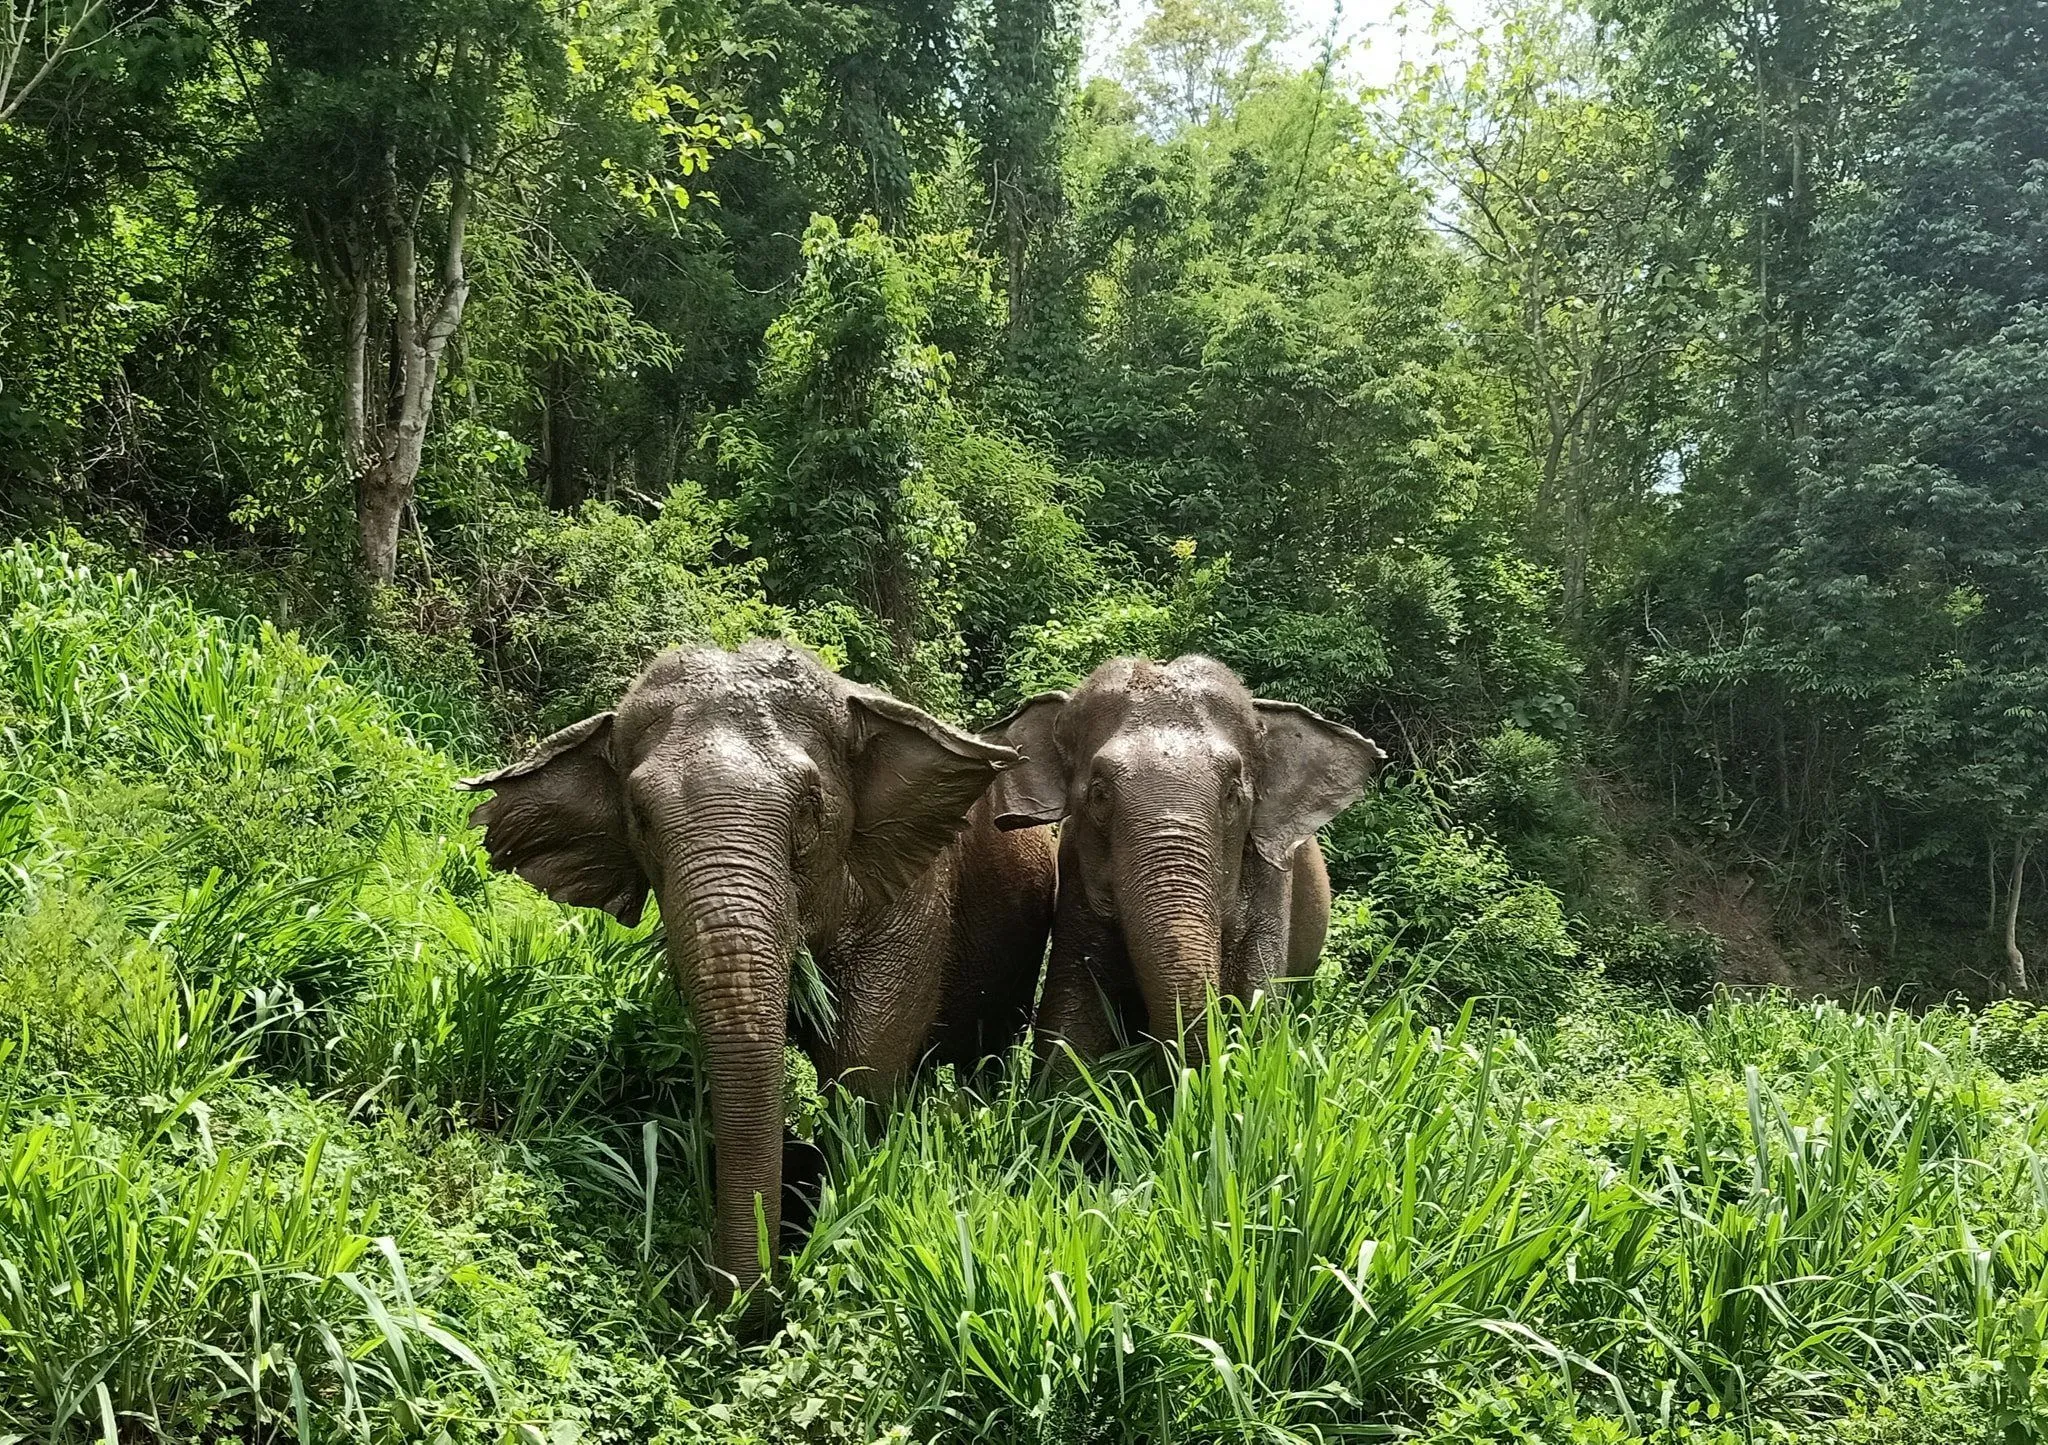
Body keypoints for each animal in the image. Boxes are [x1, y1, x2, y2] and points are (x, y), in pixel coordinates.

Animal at [983, 654, 1384, 1056]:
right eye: (1098, 795)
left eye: (1233, 796)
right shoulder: (1075, 882)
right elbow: (1072, 1019)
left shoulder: (1271, 889)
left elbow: (1256, 1011)